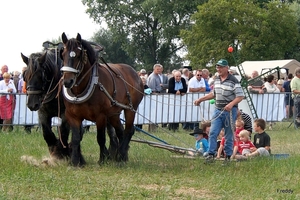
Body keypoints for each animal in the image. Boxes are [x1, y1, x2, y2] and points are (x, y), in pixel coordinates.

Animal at [60, 32, 144, 166]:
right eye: (62, 54)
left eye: (78, 55)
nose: (68, 81)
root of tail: (135, 74)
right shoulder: (72, 116)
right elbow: (76, 138)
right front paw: (74, 162)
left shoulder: (101, 116)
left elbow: (100, 138)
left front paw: (102, 159)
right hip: (114, 113)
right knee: (120, 131)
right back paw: (122, 155)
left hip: (130, 109)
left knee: (128, 131)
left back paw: (121, 155)